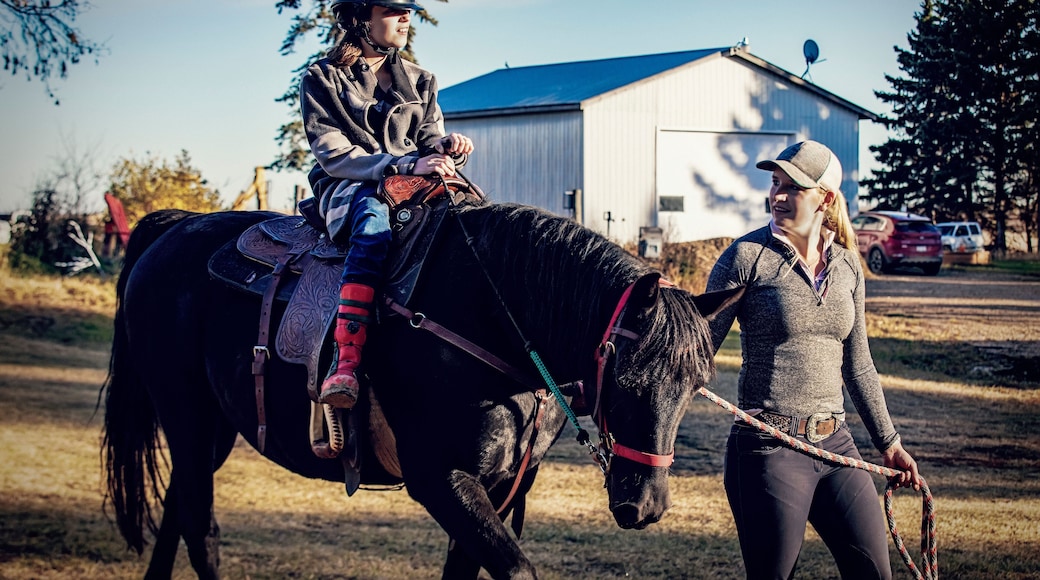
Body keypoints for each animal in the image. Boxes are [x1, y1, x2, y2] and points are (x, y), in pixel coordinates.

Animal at [102, 202, 736, 579]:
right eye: (626, 377)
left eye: (695, 387)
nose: (645, 504)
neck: (493, 325)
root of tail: (174, 228)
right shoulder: (440, 481)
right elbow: (516, 570)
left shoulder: (502, 487)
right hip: (184, 414)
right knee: (200, 524)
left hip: (213, 429)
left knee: (178, 509)